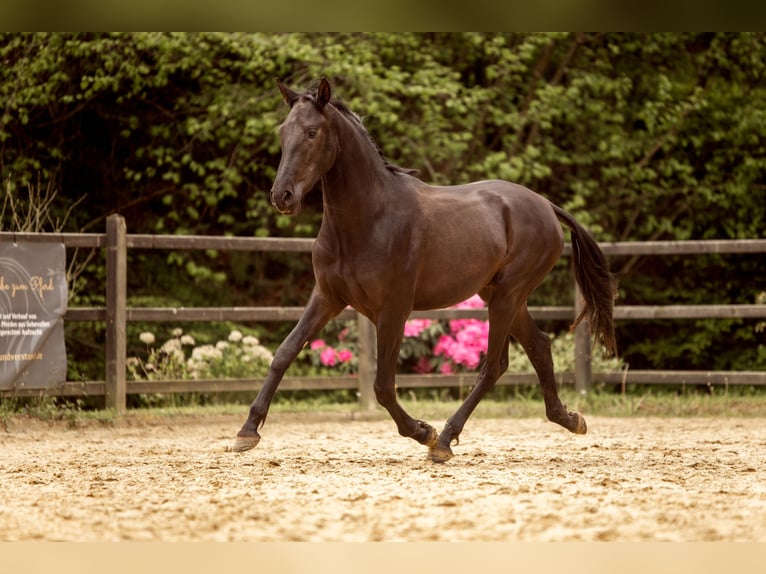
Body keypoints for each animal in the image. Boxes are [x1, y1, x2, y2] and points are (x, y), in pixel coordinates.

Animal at [233, 77, 617, 463]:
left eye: (312, 133)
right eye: (283, 131)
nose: (282, 196)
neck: (368, 219)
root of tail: (546, 206)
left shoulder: (393, 310)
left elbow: (383, 386)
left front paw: (423, 432)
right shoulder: (327, 297)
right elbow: (284, 354)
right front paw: (247, 432)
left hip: (508, 296)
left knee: (493, 366)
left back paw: (445, 440)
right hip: (501, 295)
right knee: (538, 346)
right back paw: (570, 418)